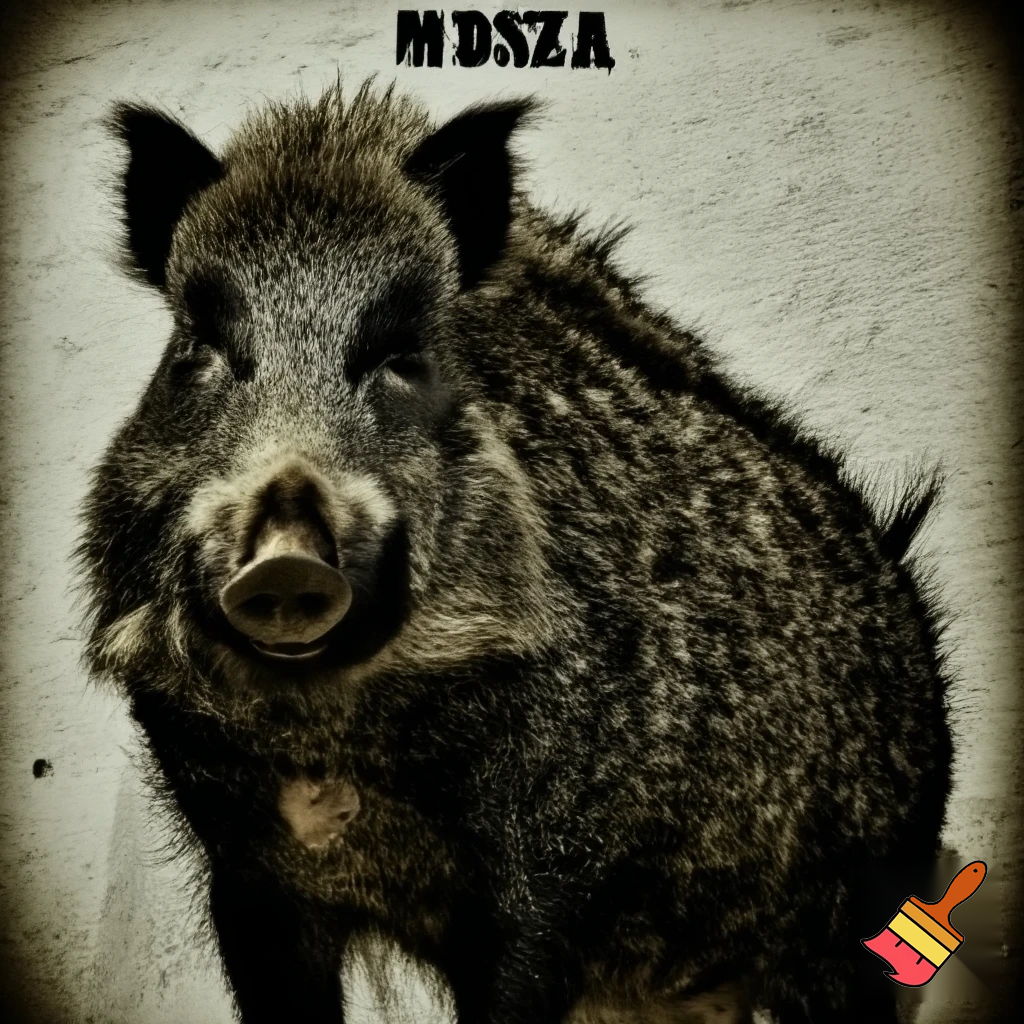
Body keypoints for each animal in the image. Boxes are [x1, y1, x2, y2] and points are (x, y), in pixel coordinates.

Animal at [78, 79, 952, 1024]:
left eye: (403, 357)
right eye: (196, 350)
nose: (285, 562)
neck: (329, 735)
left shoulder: (548, 871)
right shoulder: (245, 875)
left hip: (846, 928)